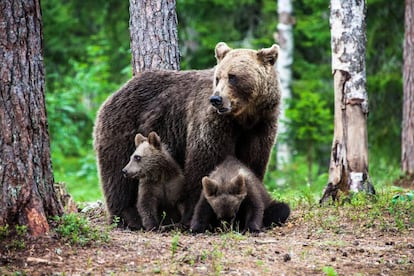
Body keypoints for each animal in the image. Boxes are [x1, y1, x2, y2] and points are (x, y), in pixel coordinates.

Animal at [93, 42, 282, 229]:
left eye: (233, 76)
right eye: (218, 77)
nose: (216, 99)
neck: (243, 117)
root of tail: (116, 92)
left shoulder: (260, 126)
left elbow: (252, 162)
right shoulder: (213, 124)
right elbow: (204, 162)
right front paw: (194, 215)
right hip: (122, 128)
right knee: (118, 177)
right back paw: (126, 217)